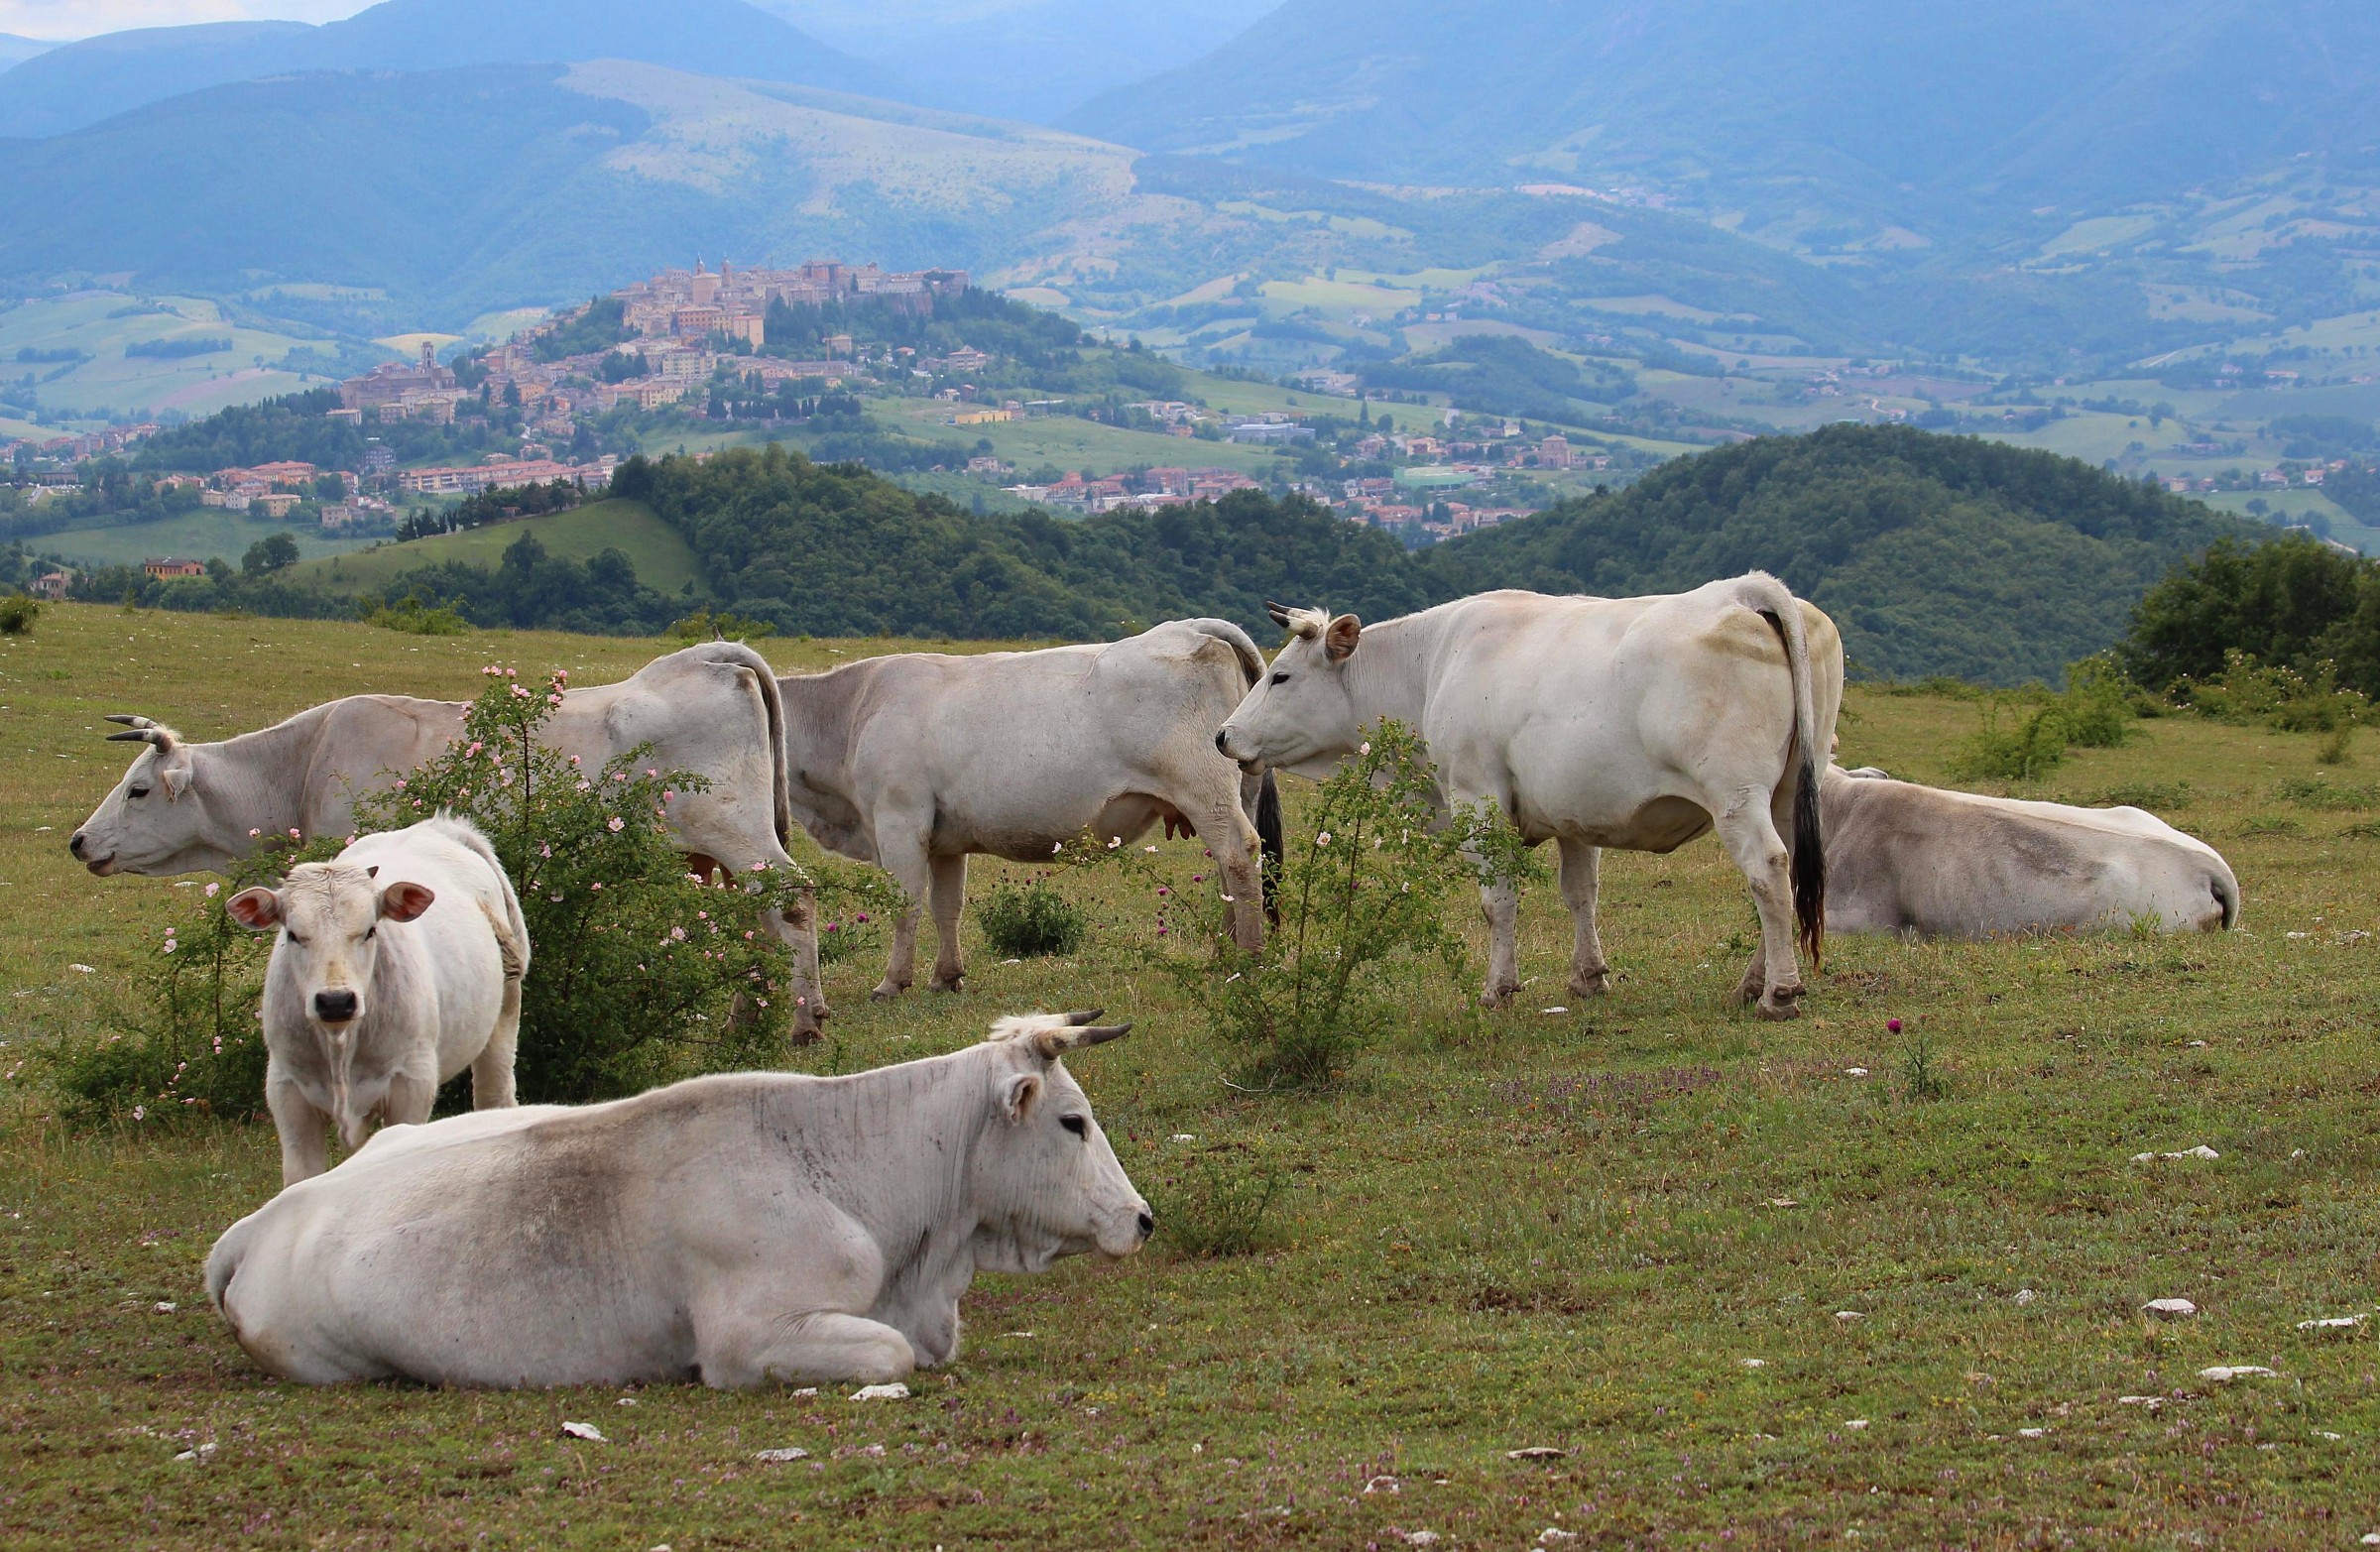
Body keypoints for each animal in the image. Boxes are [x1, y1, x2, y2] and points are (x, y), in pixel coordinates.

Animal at [69, 641, 828, 1039]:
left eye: (138, 789)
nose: (78, 841)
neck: (301, 764)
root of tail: (706, 658)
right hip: (717, 854)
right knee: (754, 918)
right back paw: (748, 1017)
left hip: (739, 834)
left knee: (792, 900)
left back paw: (804, 1022)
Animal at [225, 815, 527, 1185]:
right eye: (293, 935)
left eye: (370, 930)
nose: (336, 1001)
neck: (340, 1042)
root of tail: (438, 827)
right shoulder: (287, 1091)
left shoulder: (411, 1084)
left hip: (503, 1017)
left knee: (493, 1095)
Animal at [775, 620, 1284, 1000]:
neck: (853, 712)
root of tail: (1189, 628)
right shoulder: (944, 839)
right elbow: (946, 906)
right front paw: (946, 976)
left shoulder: (899, 821)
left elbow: (906, 904)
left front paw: (892, 982)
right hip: (1235, 791)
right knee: (1228, 868)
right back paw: (1224, 954)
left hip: (1204, 789)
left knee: (1238, 854)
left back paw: (1248, 957)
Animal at [1216, 579, 1844, 1019]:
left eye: (1280, 676)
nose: (1223, 735)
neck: (1432, 664)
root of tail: (1744, 589)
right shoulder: (1574, 810)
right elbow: (1581, 894)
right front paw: (1589, 977)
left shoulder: (1477, 798)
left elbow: (1497, 902)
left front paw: (1499, 988)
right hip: (1789, 790)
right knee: (1784, 876)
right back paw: (1753, 983)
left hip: (1737, 795)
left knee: (1767, 870)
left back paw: (1778, 993)